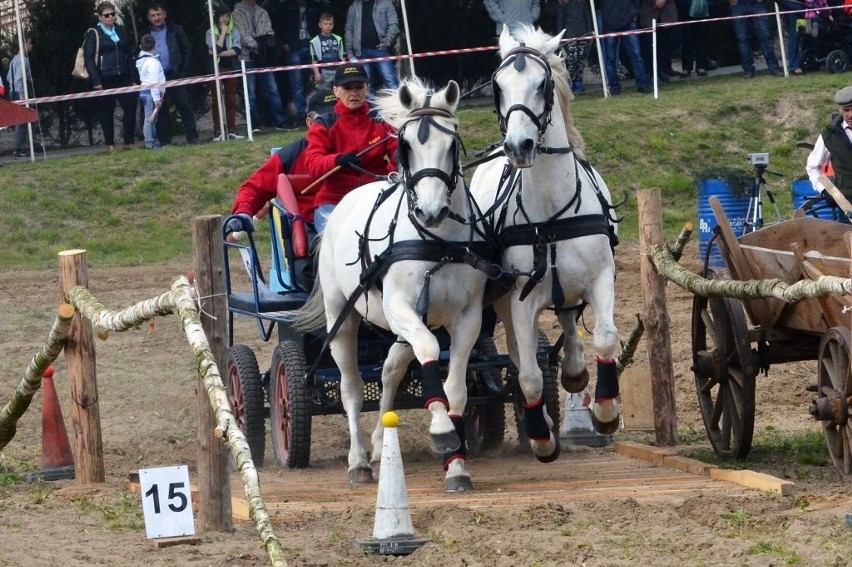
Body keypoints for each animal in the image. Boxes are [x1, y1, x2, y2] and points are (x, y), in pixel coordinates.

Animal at [294, 79, 492, 492]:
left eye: (451, 143)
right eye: (407, 146)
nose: (430, 211)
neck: (437, 242)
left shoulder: (468, 319)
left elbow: (455, 387)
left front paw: (456, 464)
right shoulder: (399, 306)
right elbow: (430, 351)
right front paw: (441, 430)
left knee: (390, 369)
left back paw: (378, 444)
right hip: (343, 316)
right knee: (352, 387)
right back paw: (358, 462)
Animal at [472, 25, 620, 462]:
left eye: (543, 83)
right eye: (498, 85)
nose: (518, 146)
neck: (551, 216)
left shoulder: (602, 278)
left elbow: (605, 338)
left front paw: (605, 410)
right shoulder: (520, 300)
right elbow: (530, 376)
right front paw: (541, 436)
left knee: (569, 322)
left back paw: (574, 371)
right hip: (504, 304)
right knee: (520, 357)